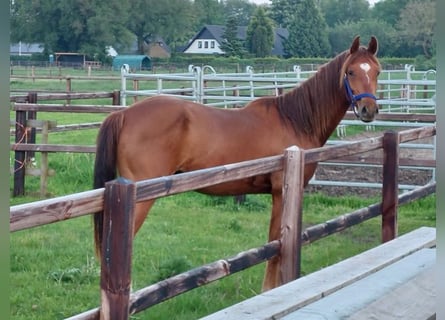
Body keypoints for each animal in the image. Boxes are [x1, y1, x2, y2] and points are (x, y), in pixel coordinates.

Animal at [92, 36, 380, 292]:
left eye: (377, 71)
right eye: (351, 71)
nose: (369, 109)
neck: (295, 119)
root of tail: (124, 114)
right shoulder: (281, 192)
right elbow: (276, 242)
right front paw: (268, 289)